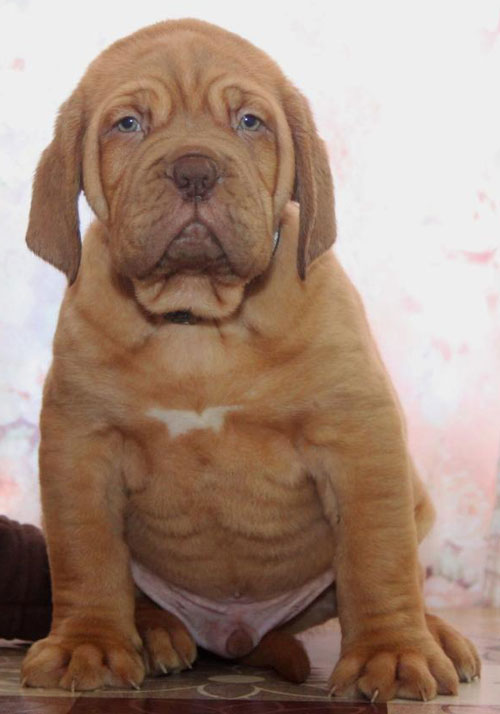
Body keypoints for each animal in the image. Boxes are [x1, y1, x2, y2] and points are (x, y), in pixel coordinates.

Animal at [21, 19, 480, 700]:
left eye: (249, 122)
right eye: (127, 124)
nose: (194, 170)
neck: (197, 320)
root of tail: (238, 638)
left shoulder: (359, 437)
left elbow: (377, 557)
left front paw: (393, 654)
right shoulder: (80, 446)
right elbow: (87, 557)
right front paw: (91, 644)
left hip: (416, 500)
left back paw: (435, 633)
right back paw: (155, 630)